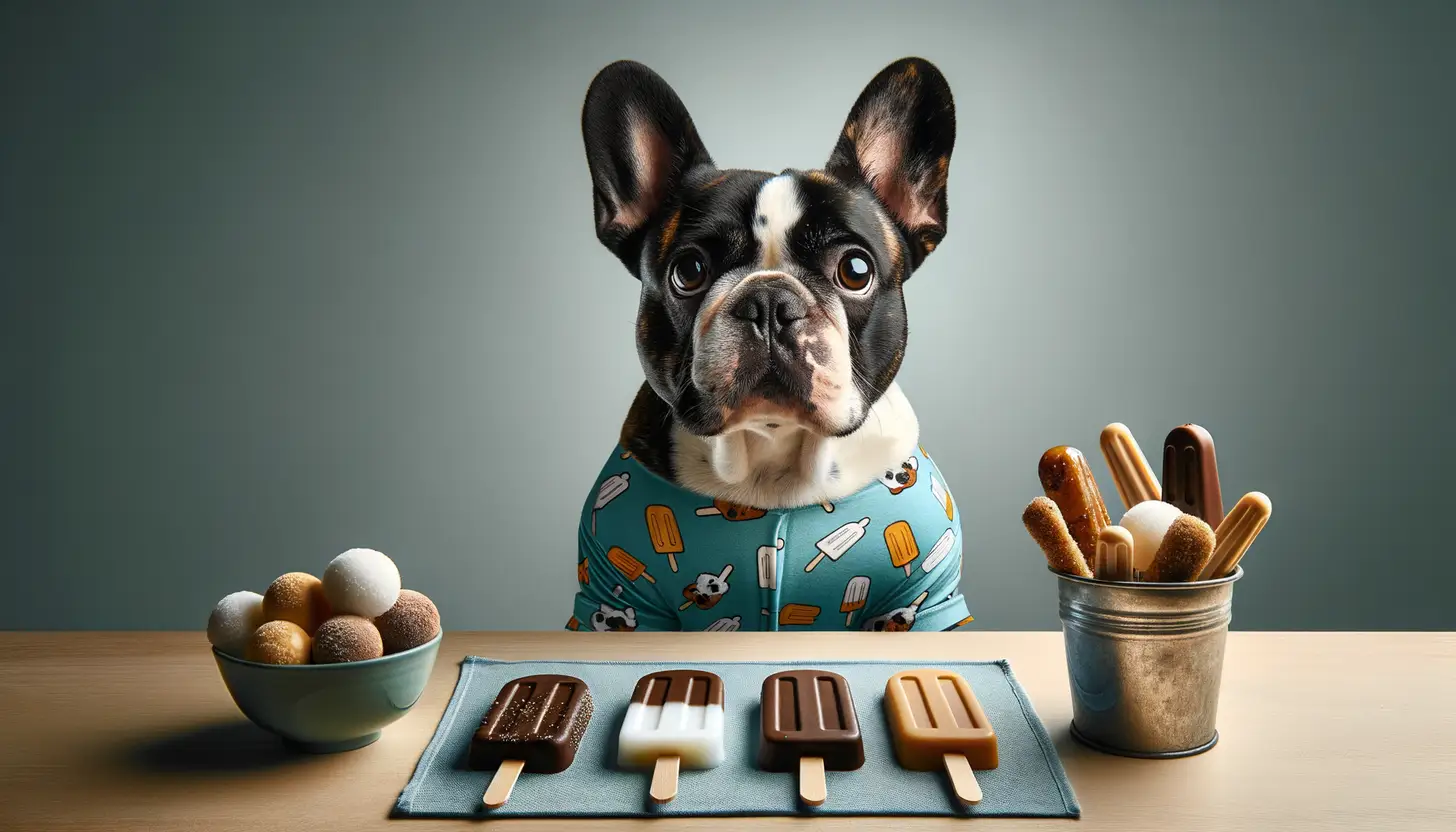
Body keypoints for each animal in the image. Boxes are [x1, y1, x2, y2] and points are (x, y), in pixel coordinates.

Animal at [573, 56, 972, 632]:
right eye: (688, 271)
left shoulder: (926, 603)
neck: (773, 459)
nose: (768, 303)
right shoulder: (614, 601)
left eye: (856, 270)